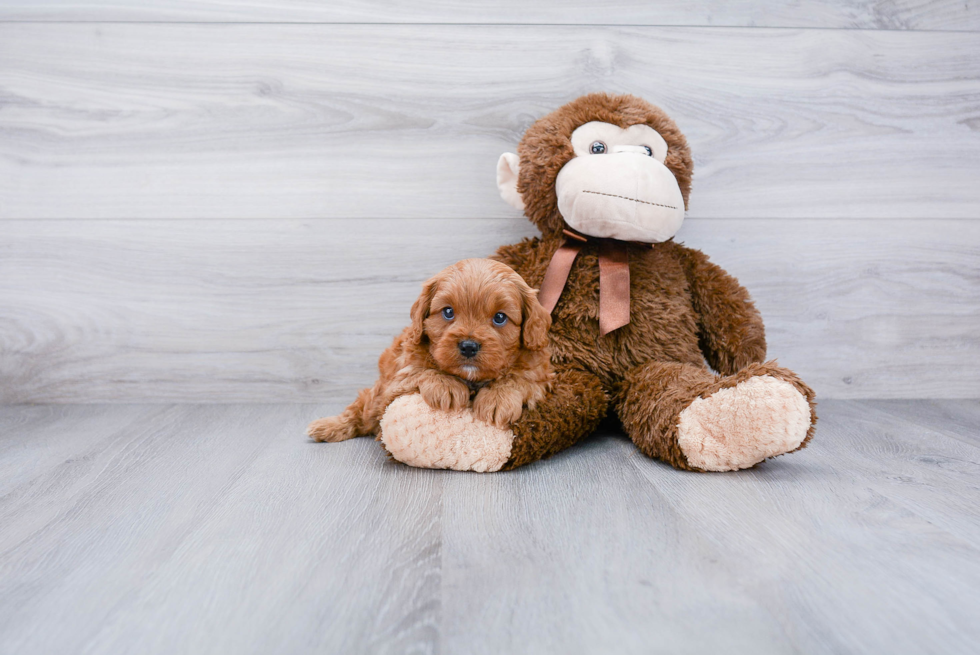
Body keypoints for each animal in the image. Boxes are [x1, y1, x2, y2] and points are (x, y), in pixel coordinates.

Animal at [306, 258, 552, 444]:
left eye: (500, 317)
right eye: (448, 312)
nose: (468, 345)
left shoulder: (540, 377)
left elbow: (520, 378)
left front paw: (497, 397)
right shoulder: (398, 377)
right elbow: (420, 369)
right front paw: (446, 385)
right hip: (376, 395)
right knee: (360, 408)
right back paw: (327, 426)